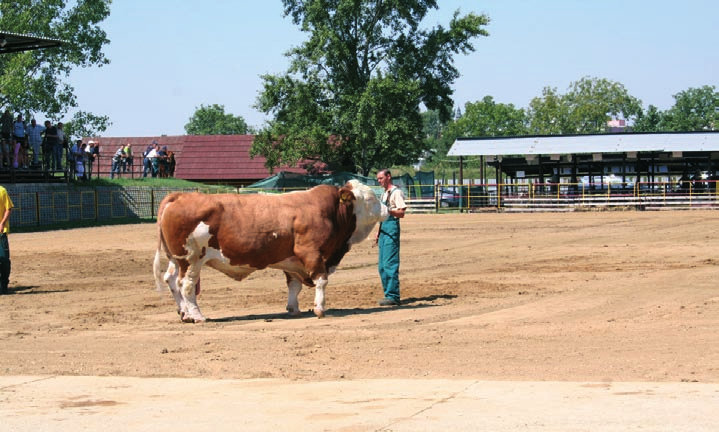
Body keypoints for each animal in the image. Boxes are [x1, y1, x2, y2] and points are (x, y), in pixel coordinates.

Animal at [153, 180, 388, 324]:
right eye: (370, 199)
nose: (388, 209)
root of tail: (179, 196)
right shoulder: (312, 253)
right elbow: (321, 281)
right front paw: (320, 309)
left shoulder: (292, 260)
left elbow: (294, 285)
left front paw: (294, 309)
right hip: (191, 259)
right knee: (186, 285)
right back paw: (197, 315)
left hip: (176, 259)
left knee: (171, 280)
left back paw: (184, 313)